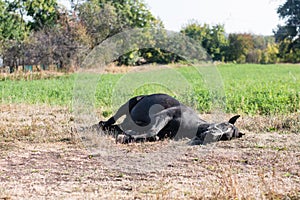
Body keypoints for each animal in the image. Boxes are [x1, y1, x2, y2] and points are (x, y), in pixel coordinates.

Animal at [96, 93, 244, 145]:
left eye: (226, 137)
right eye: (224, 125)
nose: (212, 137)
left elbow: (153, 136)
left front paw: (128, 137)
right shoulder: (163, 116)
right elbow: (152, 132)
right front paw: (125, 138)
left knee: (118, 125)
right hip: (128, 103)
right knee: (111, 120)